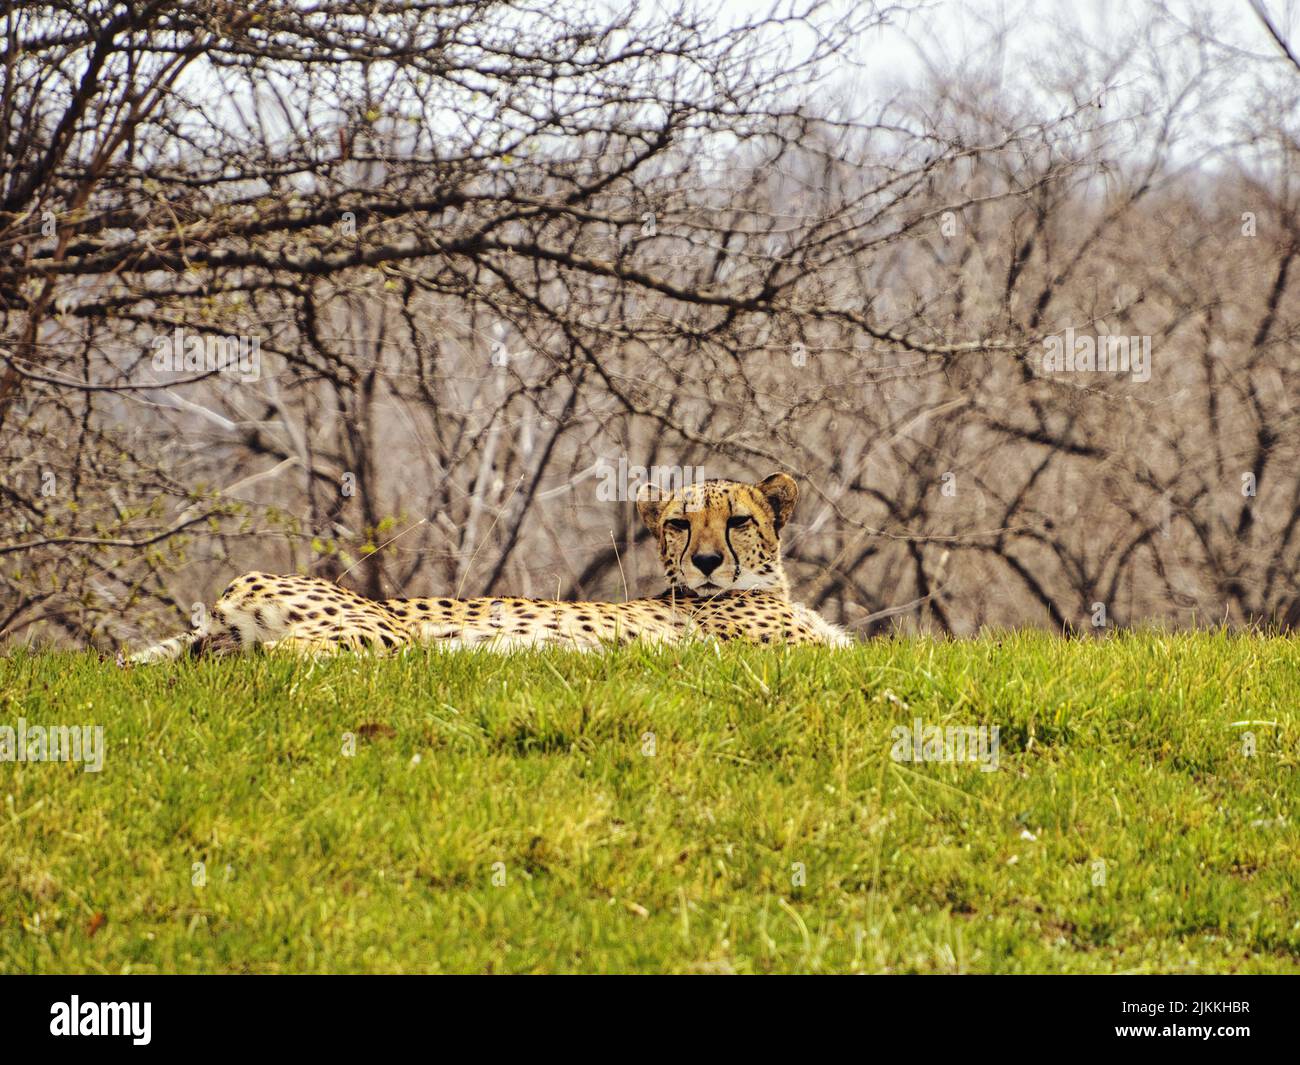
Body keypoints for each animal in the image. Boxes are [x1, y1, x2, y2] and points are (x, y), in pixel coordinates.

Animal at [122, 470, 852, 663]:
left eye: (737, 521)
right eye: (679, 523)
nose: (704, 562)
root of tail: (230, 592)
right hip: (382, 630)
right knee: (284, 657)